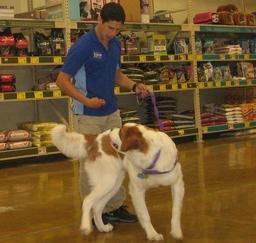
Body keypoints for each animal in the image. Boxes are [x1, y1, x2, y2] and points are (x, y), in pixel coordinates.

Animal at [51, 123, 184, 241]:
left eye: (120, 133)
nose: (111, 130)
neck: (152, 158)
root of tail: (96, 138)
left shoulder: (177, 185)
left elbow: (176, 211)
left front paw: (176, 231)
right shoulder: (137, 191)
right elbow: (145, 215)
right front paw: (152, 234)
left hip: (113, 184)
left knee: (97, 207)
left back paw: (102, 228)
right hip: (107, 182)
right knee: (88, 201)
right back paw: (85, 227)